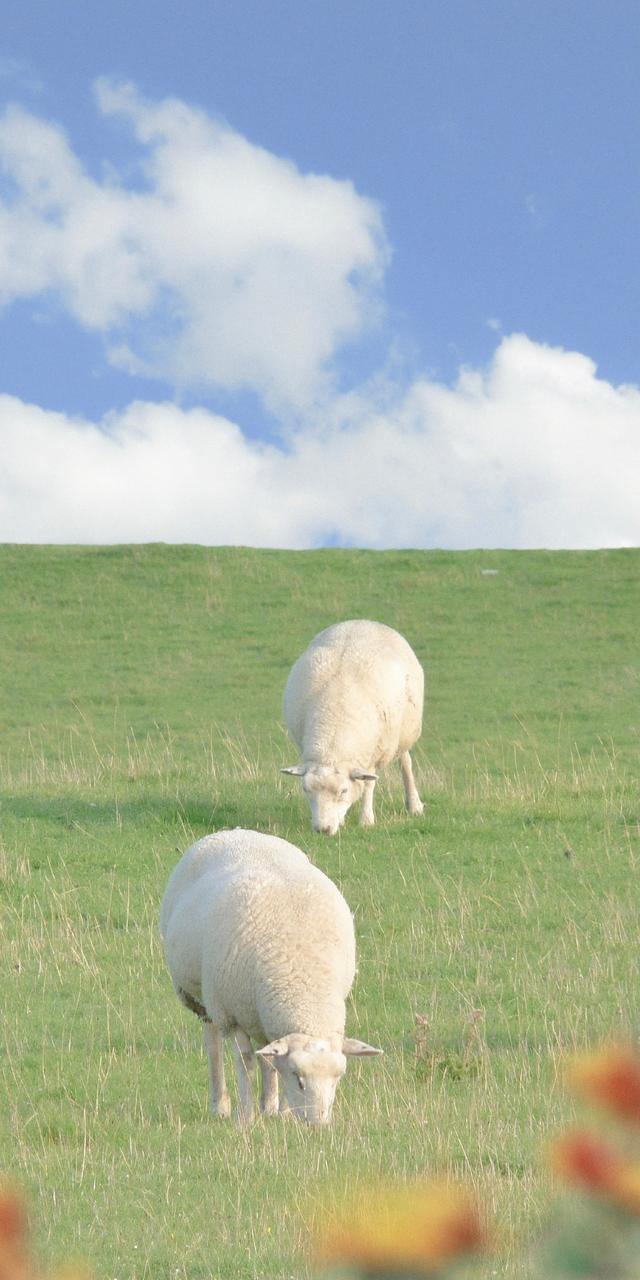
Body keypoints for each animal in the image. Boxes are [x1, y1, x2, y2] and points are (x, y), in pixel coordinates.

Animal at [160, 824, 378, 1126]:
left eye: (337, 1078)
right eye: (299, 1079)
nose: (318, 1125)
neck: (304, 983)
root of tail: (235, 832)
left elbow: (271, 1061)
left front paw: (281, 1113)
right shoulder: (232, 1015)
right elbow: (245, 1063)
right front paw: (245, 1117)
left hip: (259, 1012)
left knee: (266, 1053)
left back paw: (269, 1105)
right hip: (204, 999)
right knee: (213, 1043)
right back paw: (221, 1105)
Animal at [281, 622, 424, 839]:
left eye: (343, 791)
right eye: (306, 790)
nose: (322, 830)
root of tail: (364, 621)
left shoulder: (373, 754)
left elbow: (368, 785)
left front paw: (366, 820)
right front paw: (341, 821)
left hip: (403, 732)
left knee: (405, 762)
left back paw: (414, 805)